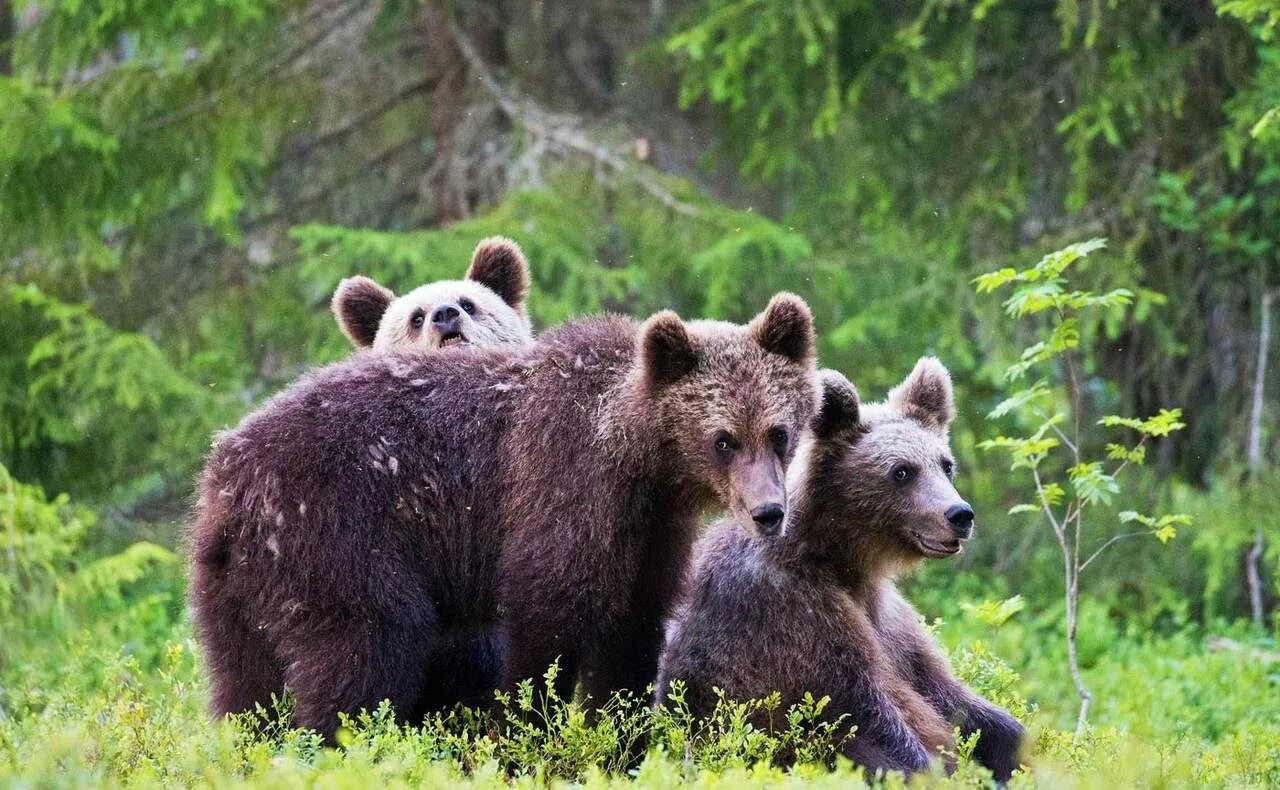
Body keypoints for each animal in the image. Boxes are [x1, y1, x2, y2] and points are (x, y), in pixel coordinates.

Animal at [655, 361, 1024, 778]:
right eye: (901, 471)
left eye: (946, 465)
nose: (959, 515)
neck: (844, 559)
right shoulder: (792, 612)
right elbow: (862, 712)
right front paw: (930, 768)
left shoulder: (891, 624)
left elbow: (949, 694)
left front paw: (1010, 748)